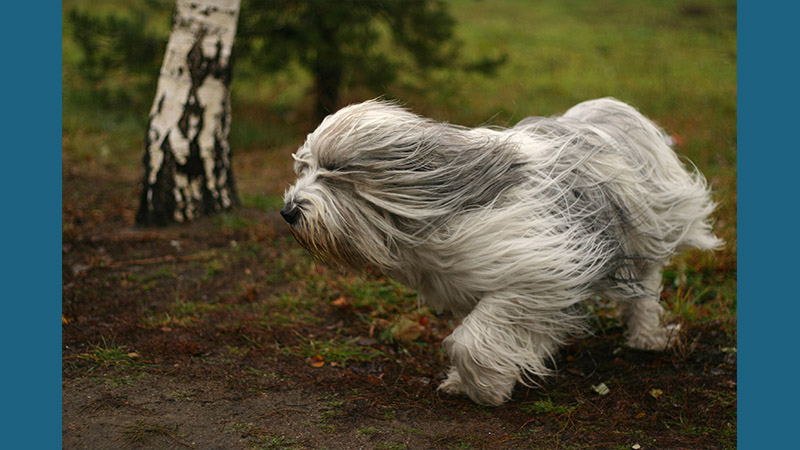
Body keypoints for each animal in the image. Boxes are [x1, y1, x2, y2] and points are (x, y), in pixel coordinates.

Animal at [278, 97, 720, 404]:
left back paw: (645, 336)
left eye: (335, 173)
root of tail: (609, 112)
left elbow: (473, 339)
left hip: (648, 228)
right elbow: (494, 333)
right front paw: (471, 379)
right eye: (304, 169)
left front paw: (485, 388)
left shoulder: (539, 273)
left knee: (646, 283)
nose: (288, 211)